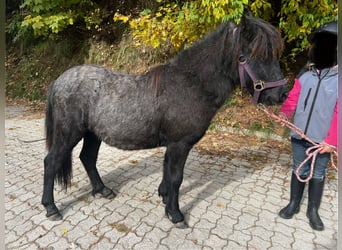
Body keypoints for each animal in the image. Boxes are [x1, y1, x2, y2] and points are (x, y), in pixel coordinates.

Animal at [42, 15, 288, 227]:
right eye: (259, 56)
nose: (282, 94)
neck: (190, 85)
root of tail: (59, 81)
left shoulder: (173, 145)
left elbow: (167, 173)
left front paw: (164, 198)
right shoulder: (180, 144)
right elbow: (176, 178)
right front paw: (176, 214)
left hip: (92, 134)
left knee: (88, 158)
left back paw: (102, 190)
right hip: (68, 134)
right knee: (51, 162)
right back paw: (51, 208)